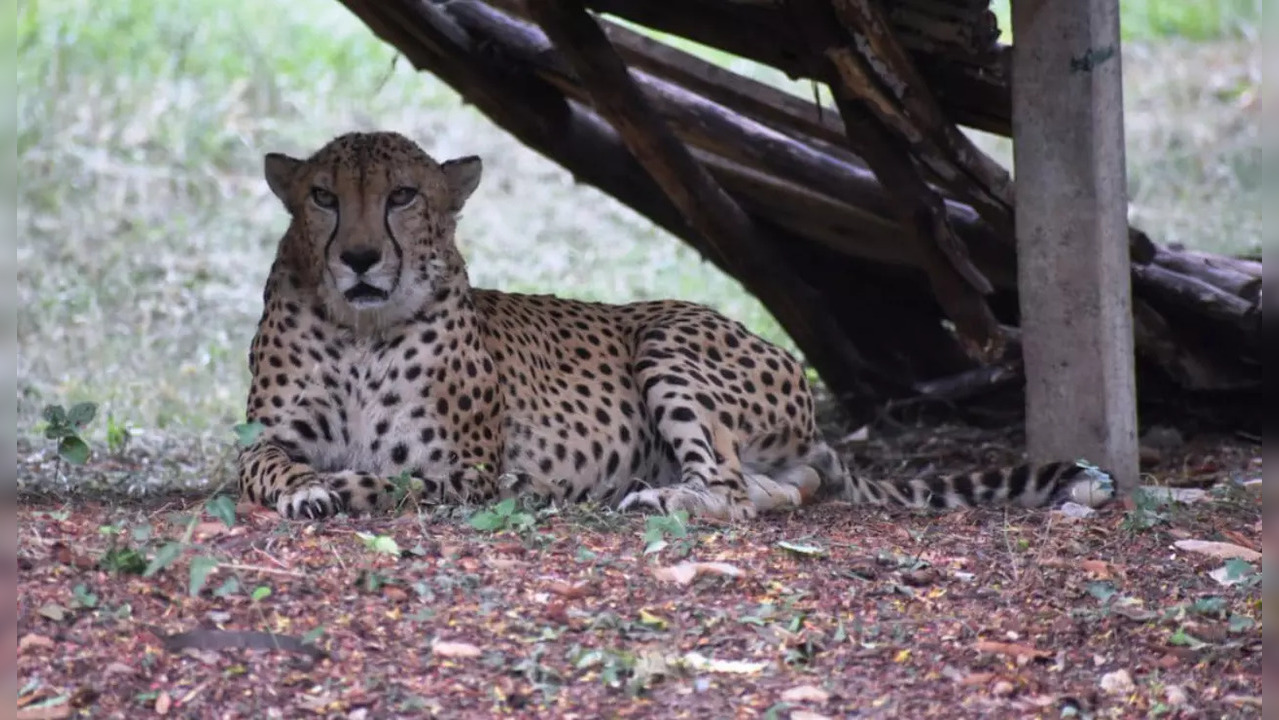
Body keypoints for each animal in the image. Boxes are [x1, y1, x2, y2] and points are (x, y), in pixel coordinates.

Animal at [235, 132, 1115, 521]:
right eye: (322, 197)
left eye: (402, 196)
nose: (357, 258)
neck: (360, 328)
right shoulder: (263, 439)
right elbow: (268, 468)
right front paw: (307, 488)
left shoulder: (468, 470)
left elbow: (395, 478)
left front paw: (338, 487)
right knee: (774, 490)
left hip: (666, 342)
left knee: (726, 488)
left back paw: (659, 497)